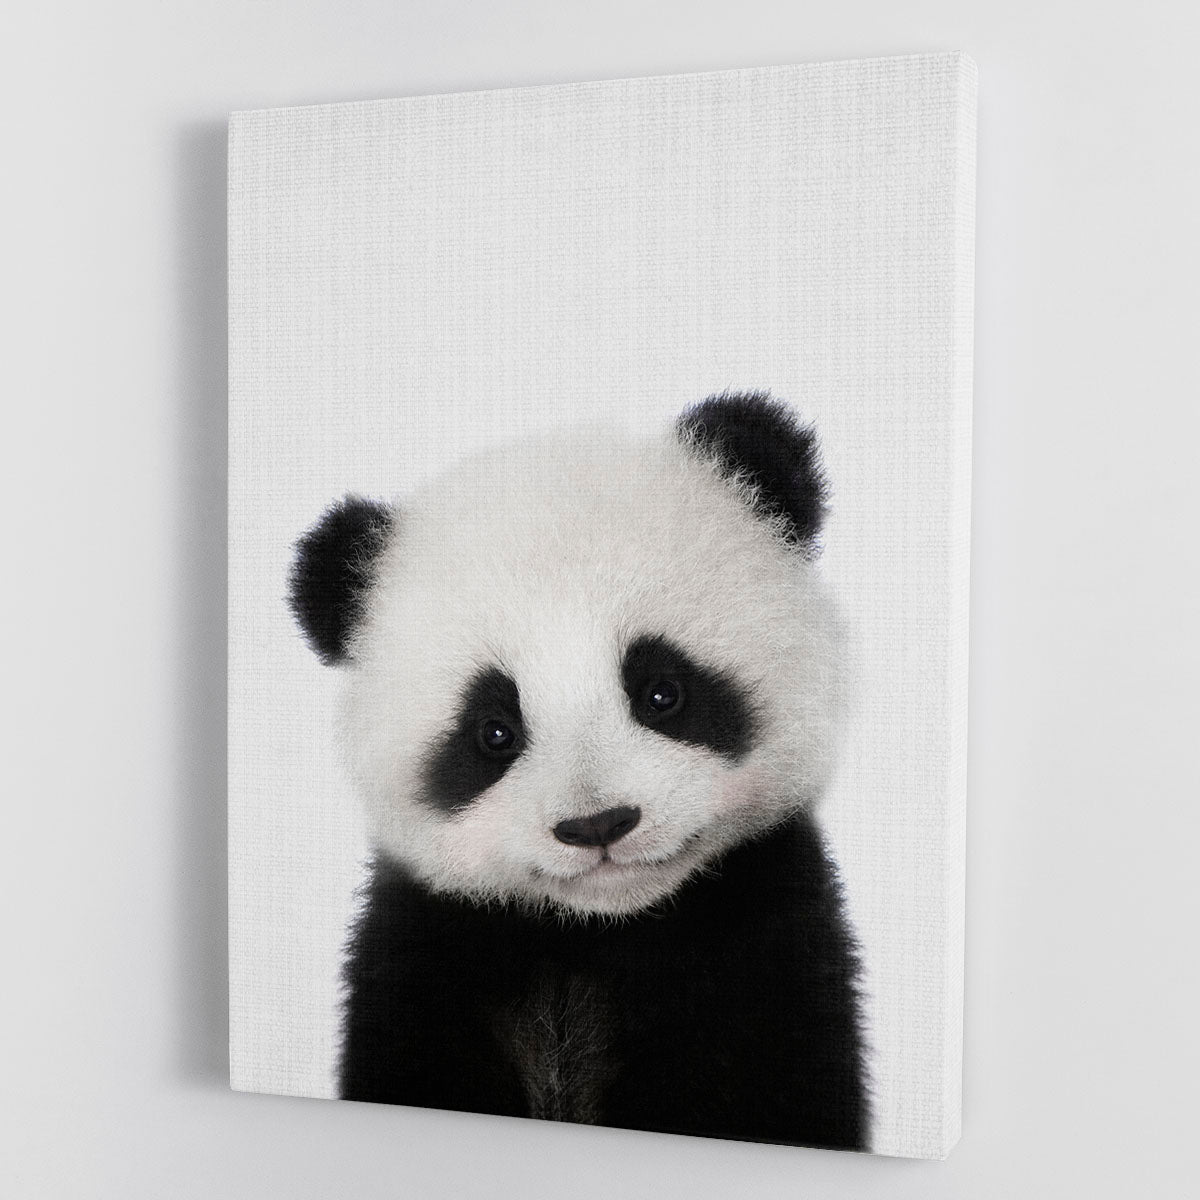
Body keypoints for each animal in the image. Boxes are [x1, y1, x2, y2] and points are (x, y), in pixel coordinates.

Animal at [288, 391, 869, 1150]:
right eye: (494, 731)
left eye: (662, 692)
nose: (597, 825)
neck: (594, 933)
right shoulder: (427, 959)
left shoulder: (767, 950)